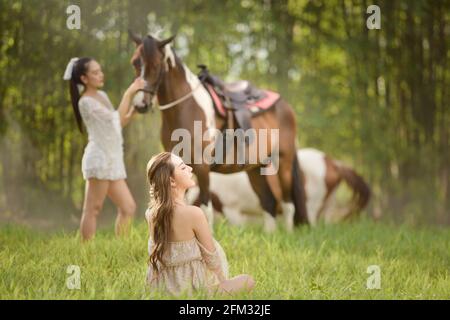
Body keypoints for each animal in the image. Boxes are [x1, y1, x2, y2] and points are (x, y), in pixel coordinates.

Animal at [128, 31, 308, 231]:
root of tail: (285, 105)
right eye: (135, 62)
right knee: (268, 202)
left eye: (156, 64)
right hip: (256, 167)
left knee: (288, 204)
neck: (186, 108)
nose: (140, 104)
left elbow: (205, 209)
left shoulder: (202, 166)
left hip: (283, 161)